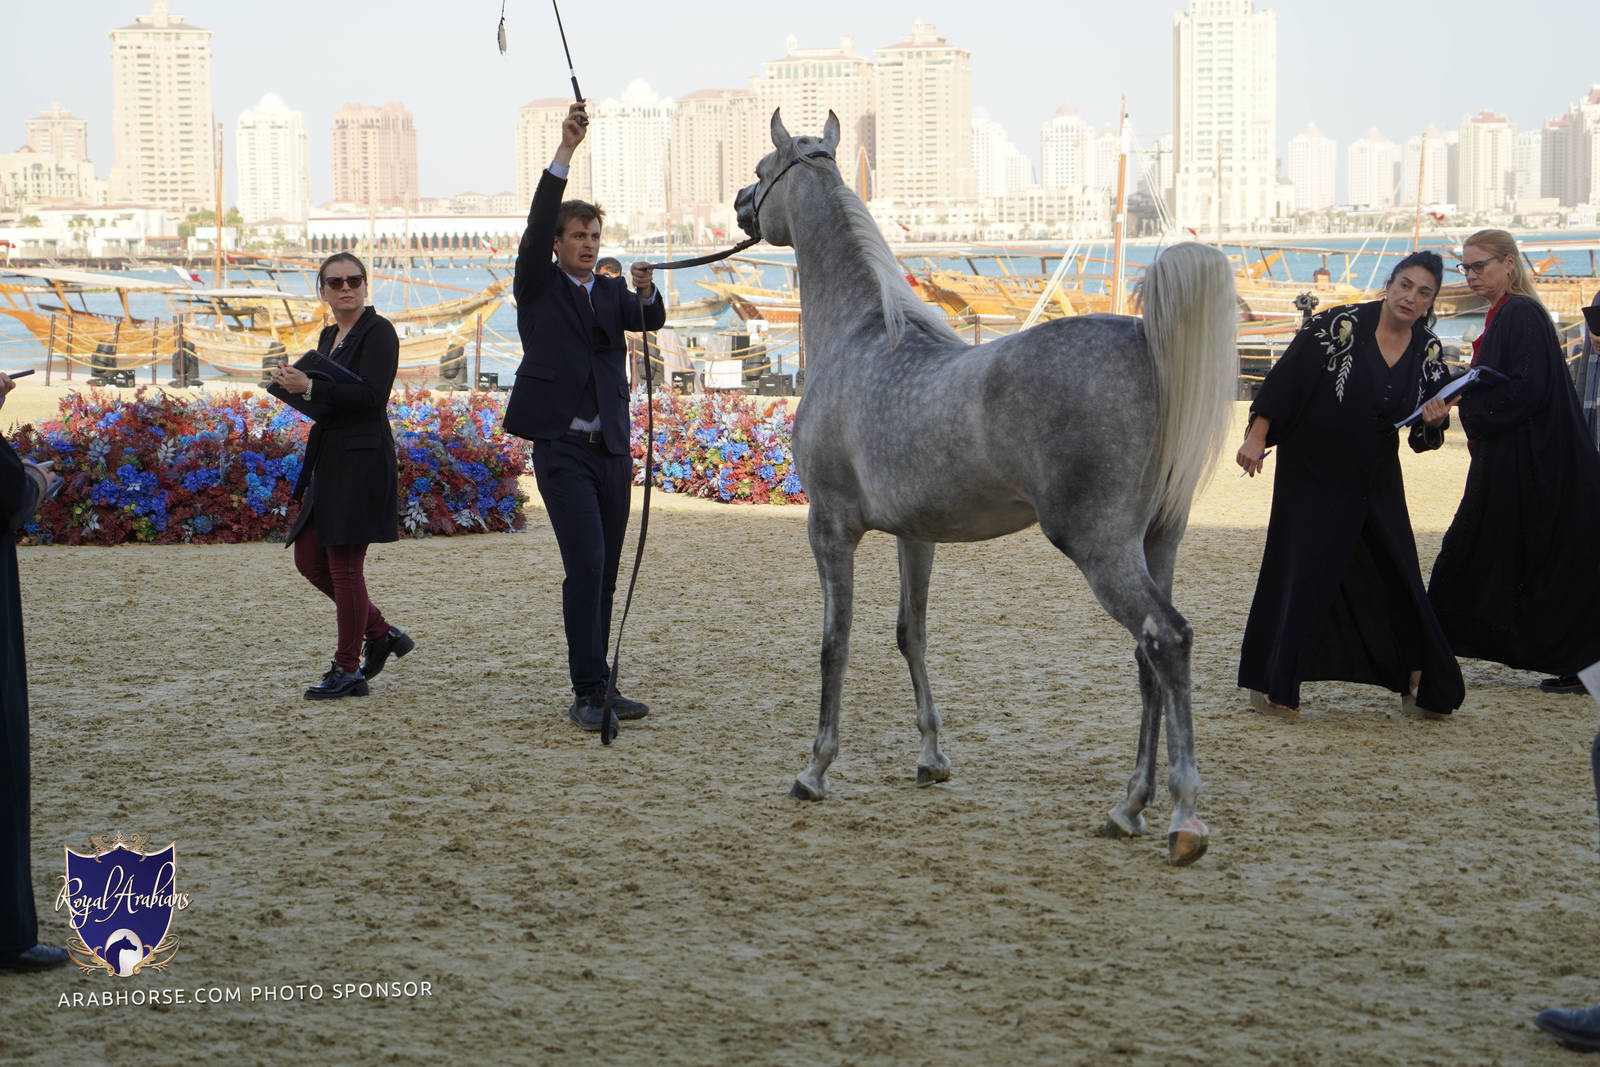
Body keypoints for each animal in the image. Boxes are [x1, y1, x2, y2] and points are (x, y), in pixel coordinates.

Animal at [734, 111, 1238, 865]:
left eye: (764, 169)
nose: (740, 204)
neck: (861, 336)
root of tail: (1146, 341)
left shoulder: (830, 528)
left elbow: (835, 642)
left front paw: (816, 768)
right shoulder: (916, 536)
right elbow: (911, 633)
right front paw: (932, 756)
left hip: (1102, 548)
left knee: (1167, 639)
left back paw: (1181, 815)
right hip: (1158, 544)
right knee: (1148, 656)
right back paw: (1129, 806)